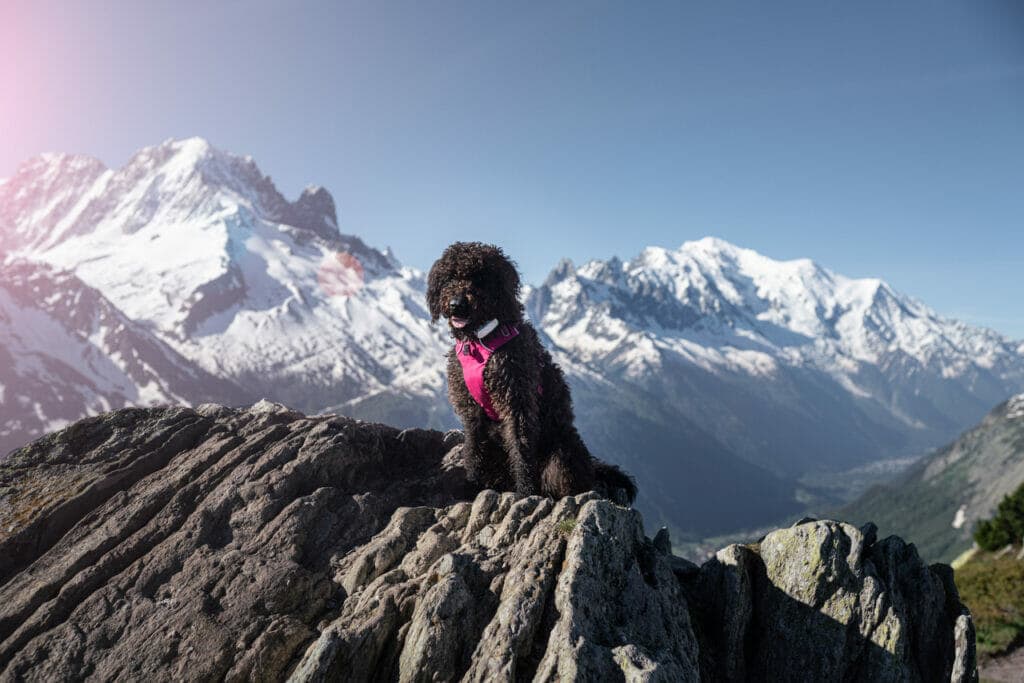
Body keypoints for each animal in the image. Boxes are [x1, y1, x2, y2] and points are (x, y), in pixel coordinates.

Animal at [421, 242, 630, 505]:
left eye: (479, 277)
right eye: (449, 277)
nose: (456, 304)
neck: (480, 342)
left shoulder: (516, 401)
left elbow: (521, 448)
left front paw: (524, 490)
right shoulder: (471, 410)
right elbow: (474, 448)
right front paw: (472, 484)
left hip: (561, 454)